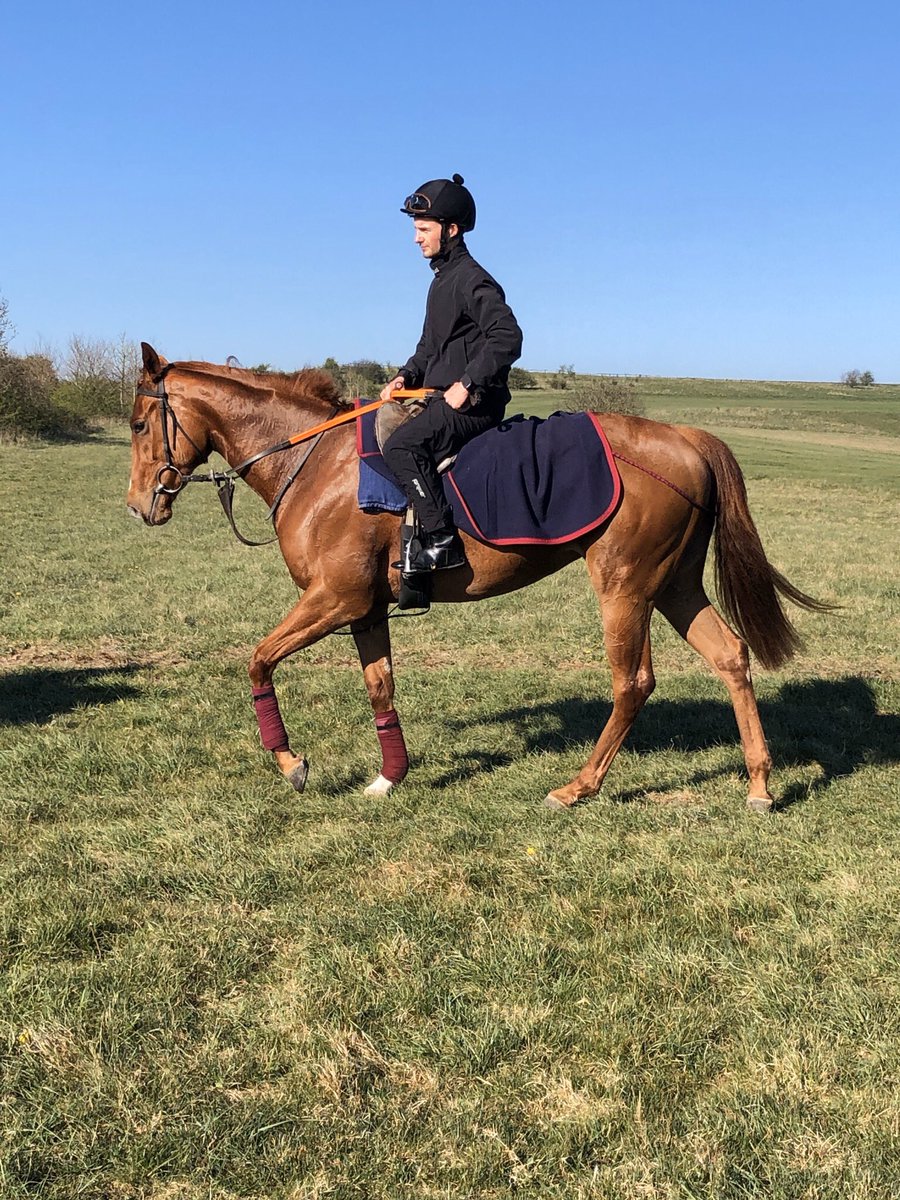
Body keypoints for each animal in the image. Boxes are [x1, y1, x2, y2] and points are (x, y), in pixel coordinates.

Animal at [126, 343, 829, 811]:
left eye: (137, 423)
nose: (138, 508)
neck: (313, 462)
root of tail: (685, 438)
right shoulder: (365, 609)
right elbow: (380, 687)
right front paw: (390, 775)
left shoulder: (334, 599)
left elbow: (258, 661)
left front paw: (290, 762)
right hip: (675, 585)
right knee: (731, 656)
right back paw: (760, 784)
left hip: (626, 587)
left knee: (633, 683)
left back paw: (578, 786)